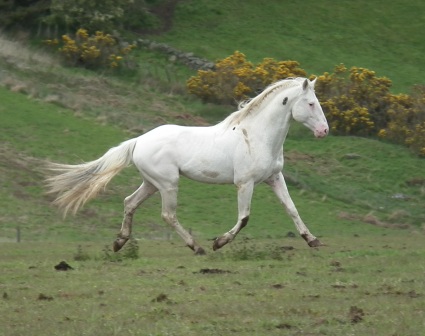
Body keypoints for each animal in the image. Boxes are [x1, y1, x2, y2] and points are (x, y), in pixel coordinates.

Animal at [47, 77, 332, 255]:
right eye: (310, 103)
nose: (324, 131)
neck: (256, 136)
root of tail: (139, 140)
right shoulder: (245, 183)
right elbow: (244, 218)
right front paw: (219, 242)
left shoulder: (275, 178)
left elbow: (292, 209)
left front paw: (313, 240)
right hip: (168, 183)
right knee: (168, 215)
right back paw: (198, 247)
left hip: (151, 183)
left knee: (129, 202)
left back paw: (119, 242)